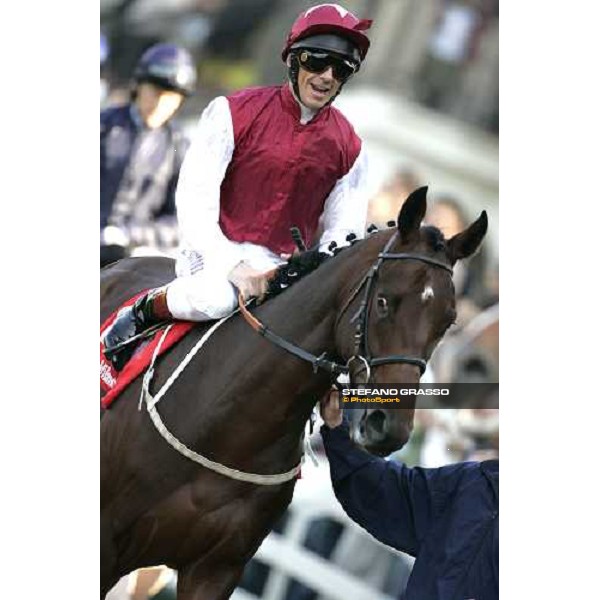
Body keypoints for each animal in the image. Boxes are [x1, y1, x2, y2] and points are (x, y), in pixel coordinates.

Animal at [101, 186, 488, 596]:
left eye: (448, 321)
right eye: (384, 302)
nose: (388, 426)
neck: (231, 425)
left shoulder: (216, 569)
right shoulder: (108, 543)